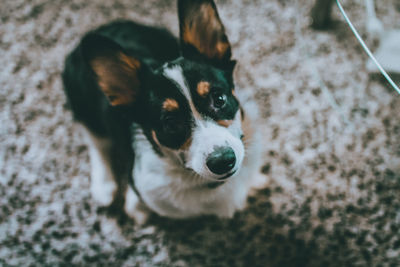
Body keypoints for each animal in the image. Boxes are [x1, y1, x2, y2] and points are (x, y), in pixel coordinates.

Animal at [61, 0, 262, 223]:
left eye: (219, 99)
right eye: (170, 123)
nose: (223, 161)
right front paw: (137, 207)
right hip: (83, 105)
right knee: (96, 143)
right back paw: (104, 187)